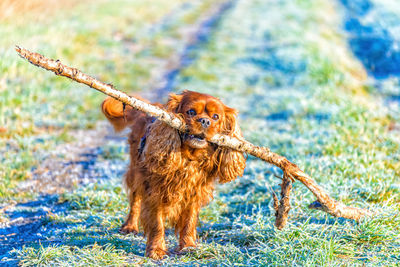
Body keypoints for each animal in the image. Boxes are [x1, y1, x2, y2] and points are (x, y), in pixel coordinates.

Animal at [101, 91, 245, 260]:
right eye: (191, 112)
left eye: (216, 116)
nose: (205, 121)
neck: (188, 159)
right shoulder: (154, 191)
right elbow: (157, 223)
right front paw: (156, 250)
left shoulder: (193, 193)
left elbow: (189, 221)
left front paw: (188, 246)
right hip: (136, 172)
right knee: (135, 200)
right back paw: (130, 226)